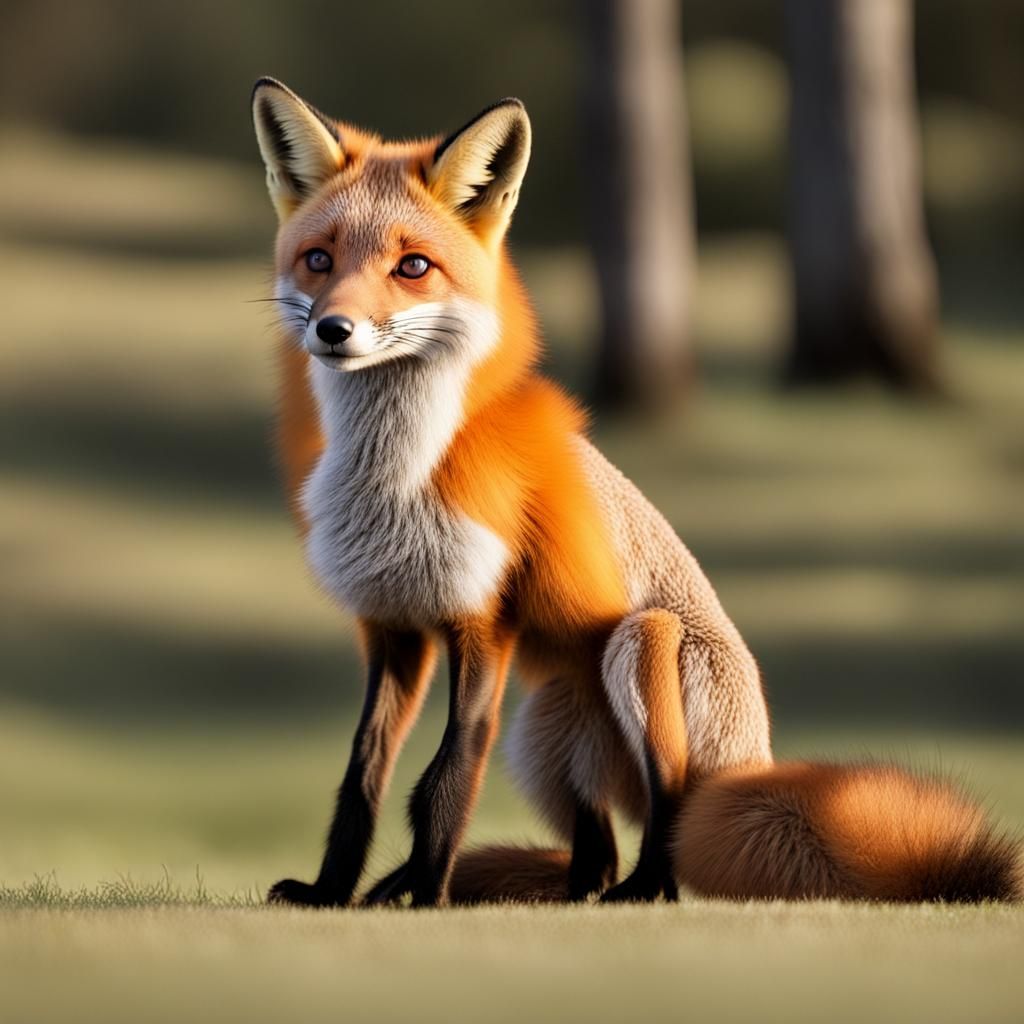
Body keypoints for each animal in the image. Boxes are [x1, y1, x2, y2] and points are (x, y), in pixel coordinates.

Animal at [251, 78, 1021, 908]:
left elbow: (445, 780)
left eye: (413, 267)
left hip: (638, 645)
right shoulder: (392, 628)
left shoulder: (482, 625)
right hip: (544, 728)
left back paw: (642, 889)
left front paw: (427, 899)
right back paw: (558, 893)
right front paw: (336, 892)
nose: (333, 330)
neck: (395, 486)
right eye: (319, 260)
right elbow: (363, 774)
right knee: (595, 851)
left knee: (668, 815)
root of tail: (756, 757)